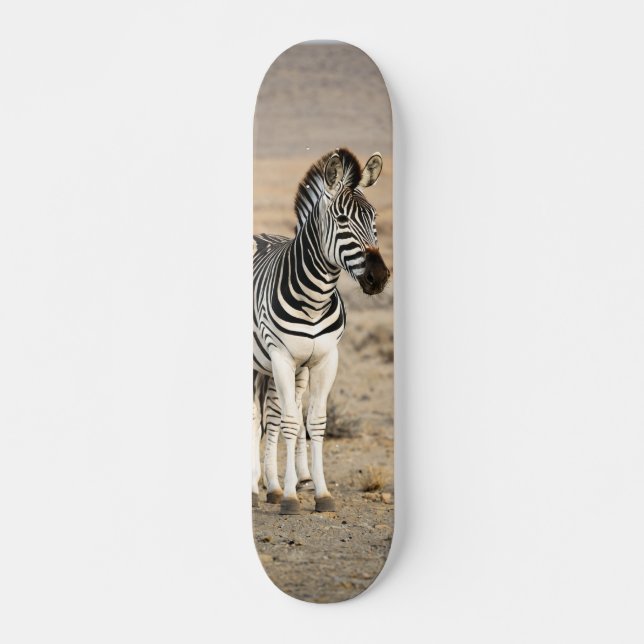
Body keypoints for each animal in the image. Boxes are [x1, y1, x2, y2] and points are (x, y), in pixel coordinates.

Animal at [253, 148, 390, 515]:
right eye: (342, 221)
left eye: (374, 219)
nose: (379, 277)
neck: (314, 298)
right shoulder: (281, 357)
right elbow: (289, 420)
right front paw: (290, 498)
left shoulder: (326, 359)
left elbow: (313, 421)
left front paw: (320, 492)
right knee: (257, 416)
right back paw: (257, 488)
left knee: (272, 416)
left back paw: (274, 485)